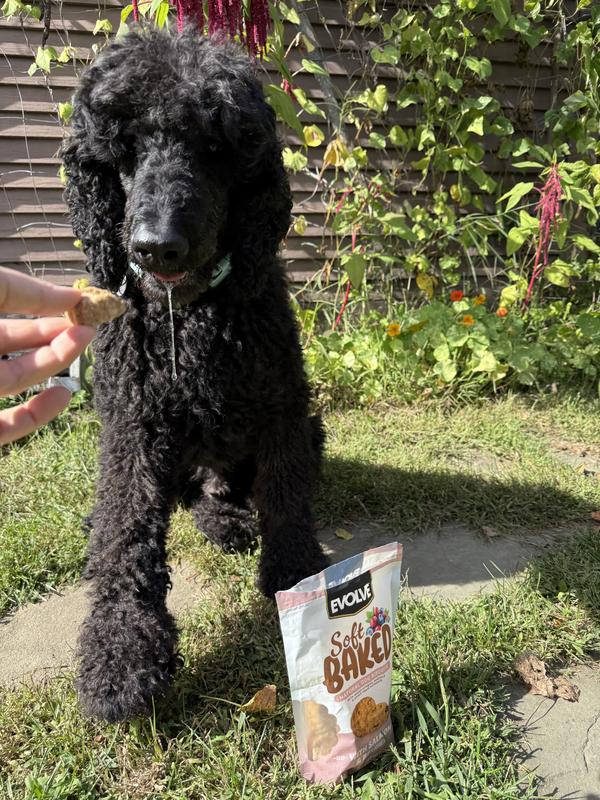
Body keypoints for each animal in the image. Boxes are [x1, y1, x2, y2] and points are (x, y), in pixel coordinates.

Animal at [62, 26, 328, 722]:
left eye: (215, 148)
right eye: (125, 148)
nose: (156, 246)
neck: (192, 315)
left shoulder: (284, 409)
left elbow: (285, 497)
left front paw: (296, 575)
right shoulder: (131, 427)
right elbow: (126, 532)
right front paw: (122, 653)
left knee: (229, 492)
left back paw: (226, 518)